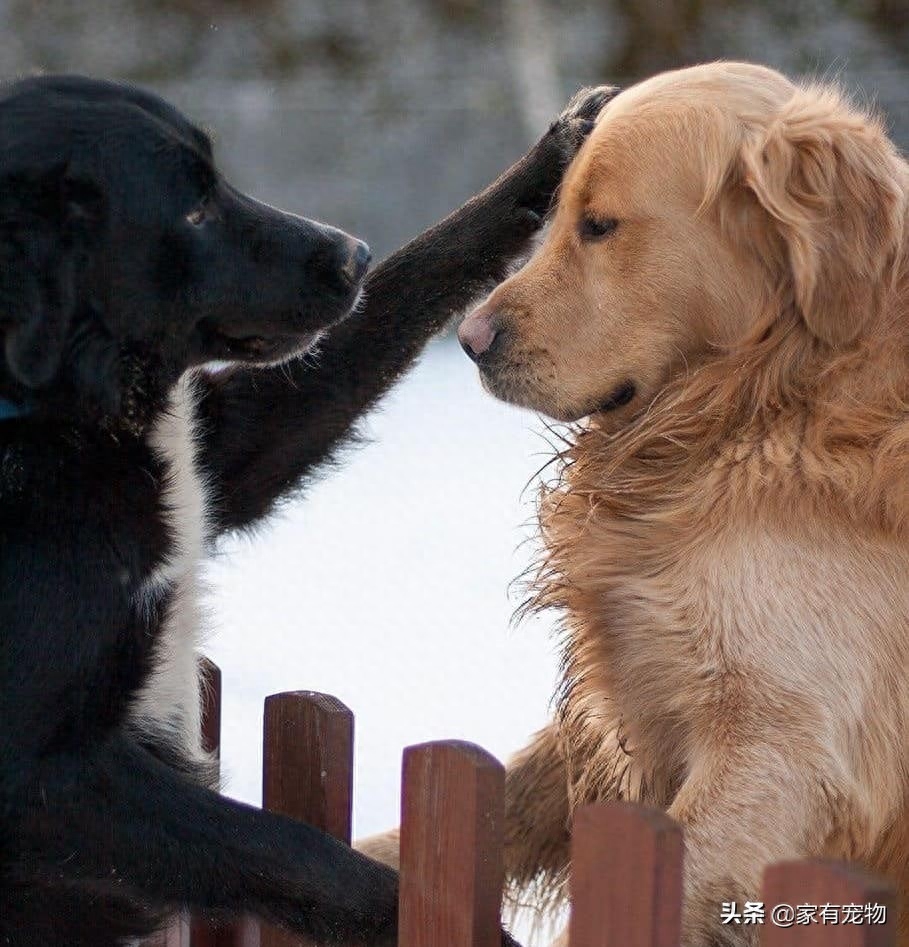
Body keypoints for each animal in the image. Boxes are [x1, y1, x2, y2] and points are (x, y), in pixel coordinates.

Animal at [0, 76, 616, 947]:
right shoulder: (39, 778)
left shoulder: (224, 458)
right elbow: (288, 847)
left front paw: (559, 149)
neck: (54, 418)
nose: (352, 252)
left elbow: (402, 291)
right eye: (193, 210)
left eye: (216, 180)